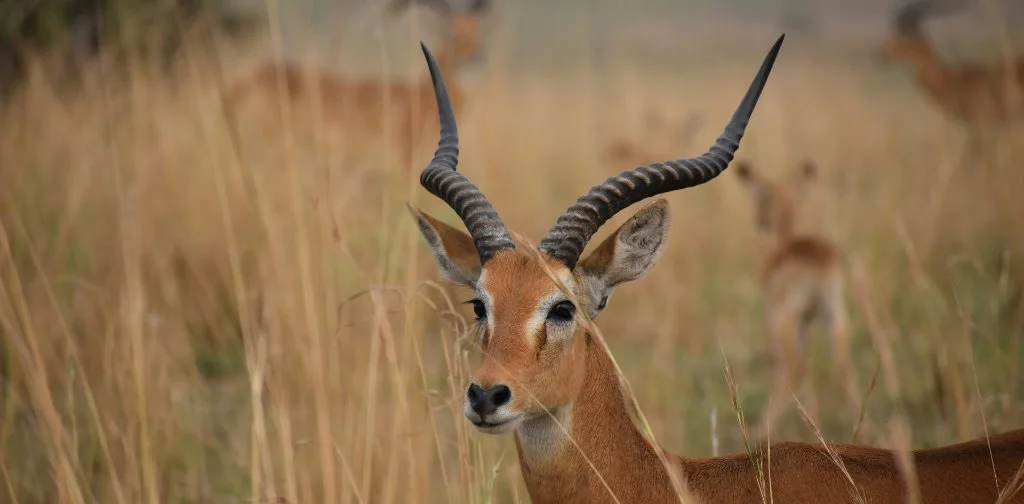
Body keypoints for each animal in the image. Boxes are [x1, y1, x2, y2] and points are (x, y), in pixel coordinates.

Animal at [733, 159, 861, 439]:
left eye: (762, 199)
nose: (758, 223)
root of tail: (817, 259)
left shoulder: (775, 316)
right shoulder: (808, 321)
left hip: (784, 319)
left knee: (791, 366)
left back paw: (760, 433)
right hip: (834, 315)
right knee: (844, 367)